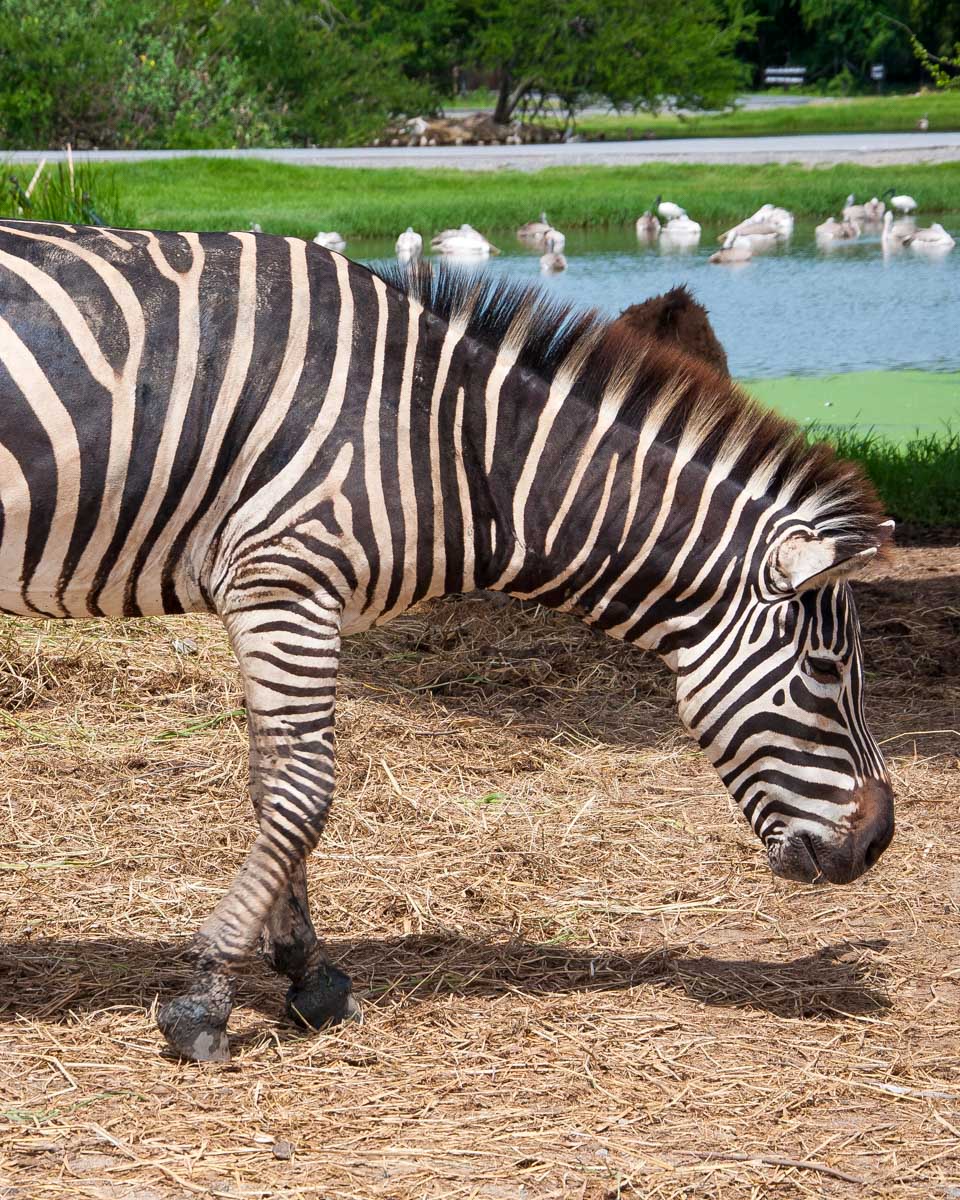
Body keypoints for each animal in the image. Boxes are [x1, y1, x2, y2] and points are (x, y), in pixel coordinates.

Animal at [0, 220, 894, 1063]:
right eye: (826, 671)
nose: (878, 842)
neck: (452, 443)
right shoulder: (287, 582)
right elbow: (302, 792)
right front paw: (204, 1001)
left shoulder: (276, 596)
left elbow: (268, 785)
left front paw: (305, 975)